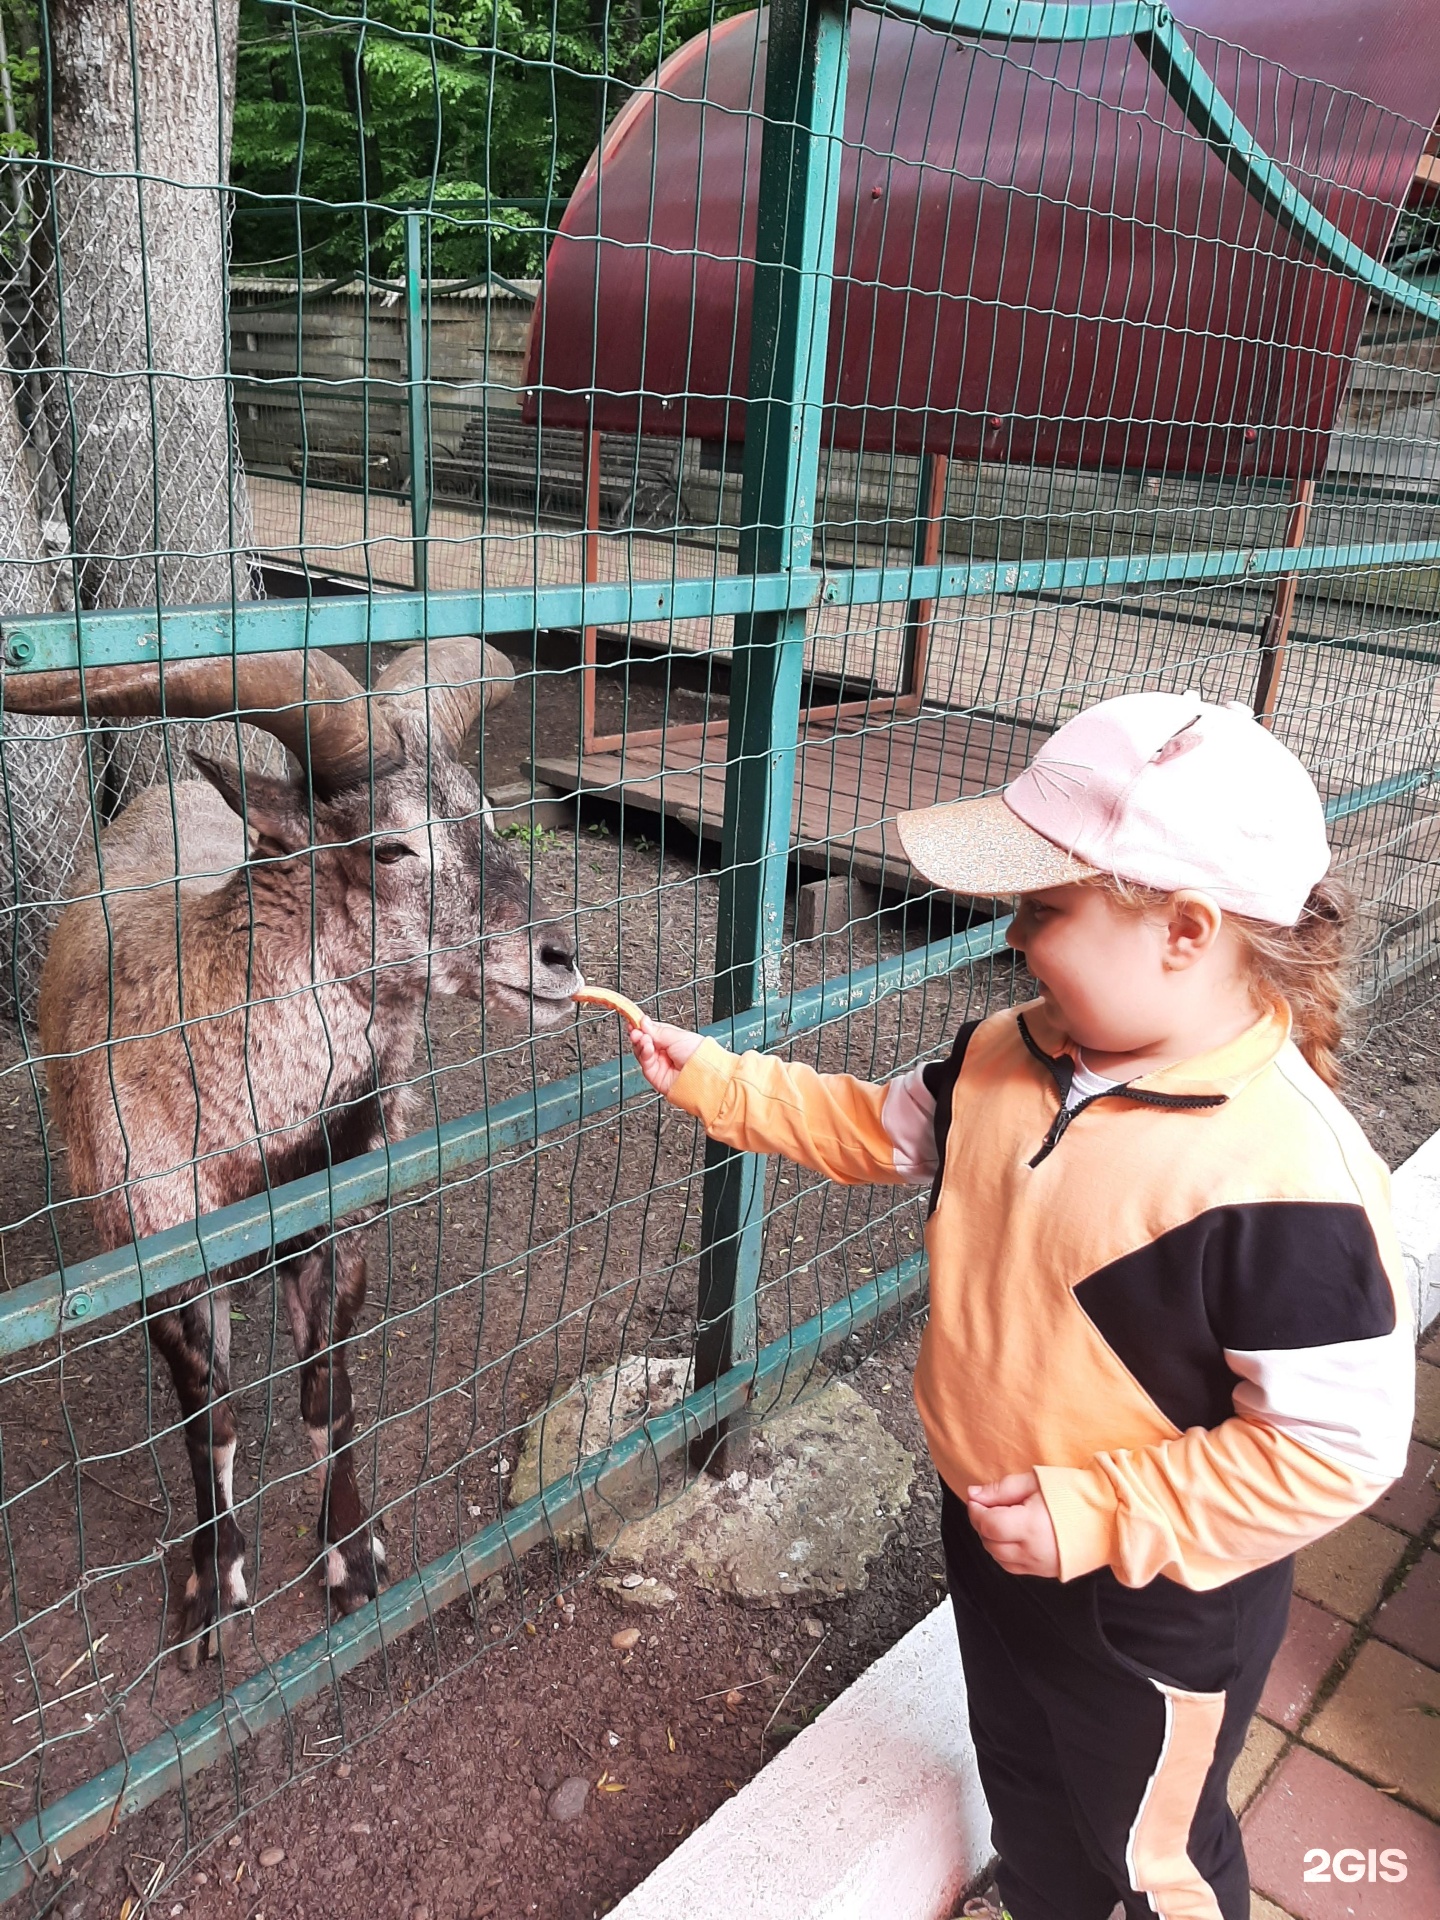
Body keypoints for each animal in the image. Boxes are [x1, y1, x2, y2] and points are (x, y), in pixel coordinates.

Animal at [5, 637, 583, 1658]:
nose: (558, 957)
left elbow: (327, 1400)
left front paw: (354, 1564)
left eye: (487, 818)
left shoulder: (339, 1231)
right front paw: (212, 1591)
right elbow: (212, 1426)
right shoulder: (164, 1255)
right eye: (389, 847)